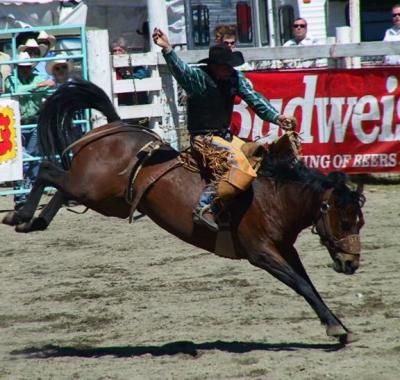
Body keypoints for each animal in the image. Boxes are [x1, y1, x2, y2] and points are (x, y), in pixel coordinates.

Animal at [2, 79, 366, 344]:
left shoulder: (286, 249)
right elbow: (300, 283)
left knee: (60, 186)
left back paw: (34, 222)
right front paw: (336, 328)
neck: (271, 197)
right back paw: (18, 216)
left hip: (105, 198)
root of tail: (116, 126)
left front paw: (338, 326)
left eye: (360, 223)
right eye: (345, 220)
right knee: (47, 170)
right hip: (91, 188)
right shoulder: (261, 252)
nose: (351, 264)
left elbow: (308, 284)